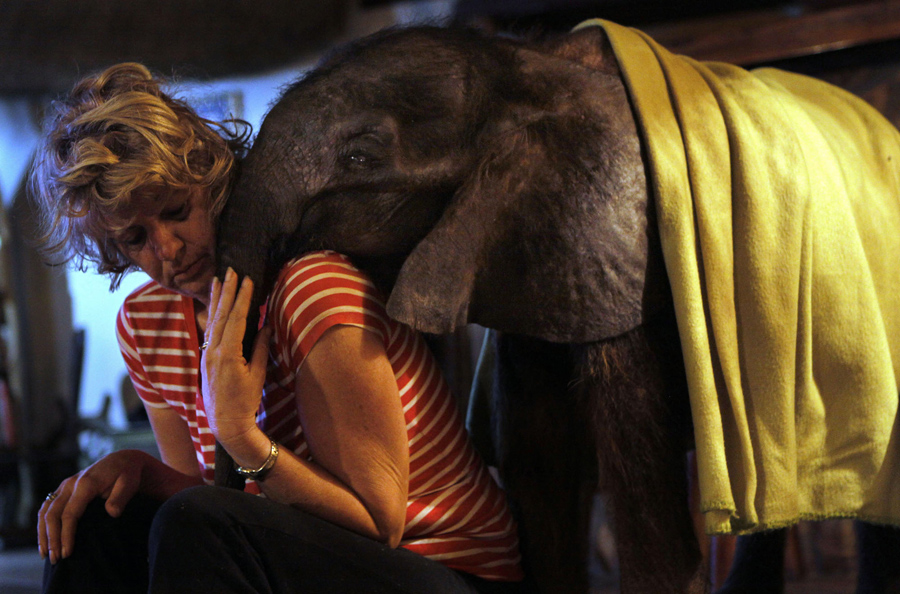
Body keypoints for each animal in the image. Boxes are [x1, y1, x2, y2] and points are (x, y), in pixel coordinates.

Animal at [216, 18, 900, 592]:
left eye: (361, 157)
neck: (530, 70)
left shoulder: (624, 265)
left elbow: (642, 502)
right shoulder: (528, 270)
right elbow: (540, 474)